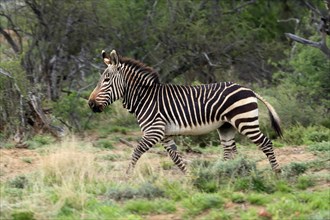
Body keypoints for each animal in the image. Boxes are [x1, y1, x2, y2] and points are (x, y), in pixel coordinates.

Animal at [87, 49, 282, 174]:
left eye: (106, 80)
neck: (145, 97)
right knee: (230, 151)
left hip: (245, 121)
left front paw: (127, 177)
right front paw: (189, 177)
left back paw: (277, 173)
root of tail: (249, 90)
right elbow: (175, 158)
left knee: (265, 143)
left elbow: (136, 152)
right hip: (226, 126)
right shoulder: (165, 135)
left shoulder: (154, 131)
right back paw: (226, 173)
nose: (90, 104)